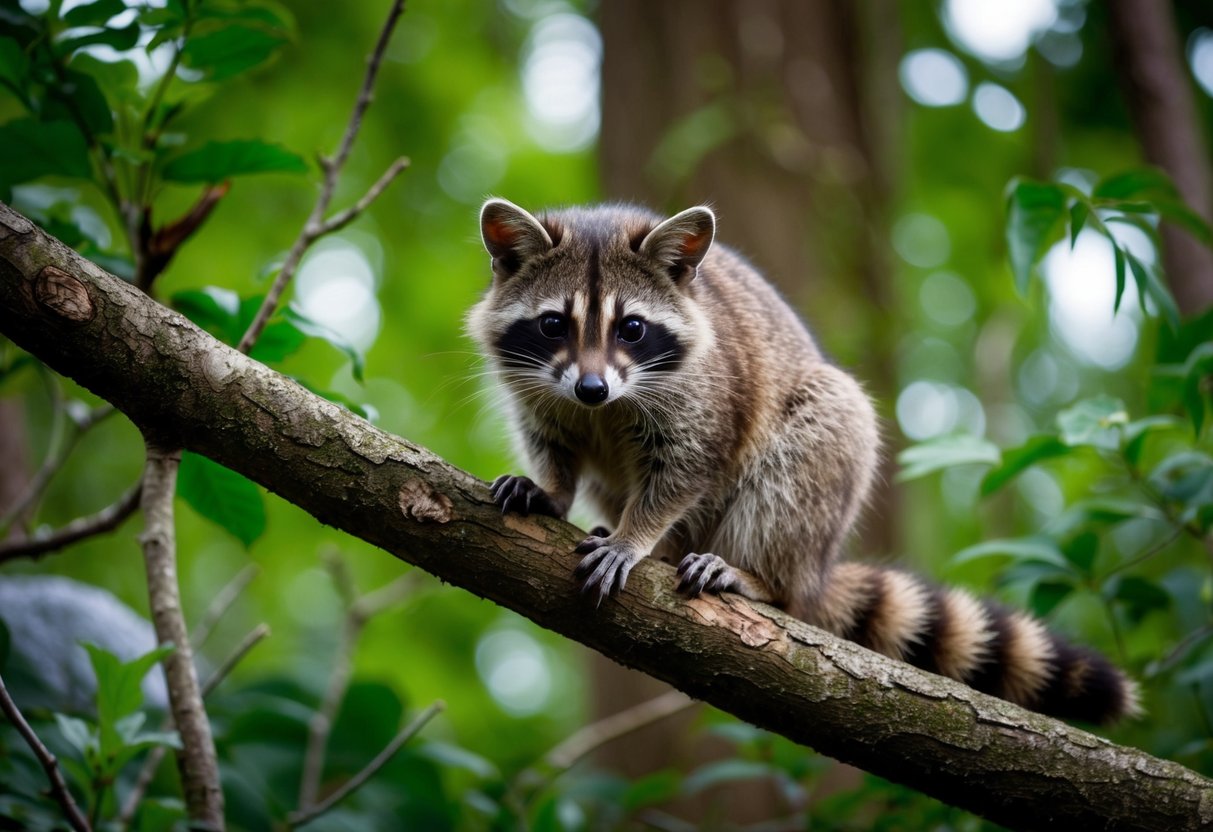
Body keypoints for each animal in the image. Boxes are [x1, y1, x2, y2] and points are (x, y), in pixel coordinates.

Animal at [467, 198, 1140, 725]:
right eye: (554, 324)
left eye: (631, 328)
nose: (592, 389)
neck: (606, 406)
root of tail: (817, 567)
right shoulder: (541, 389)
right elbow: (550, 438)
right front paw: (554, 489)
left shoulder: (707, 394)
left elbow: (687, 468)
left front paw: (637, 534)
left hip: (819, 468)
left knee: (814, 443)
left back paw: (760, 577)